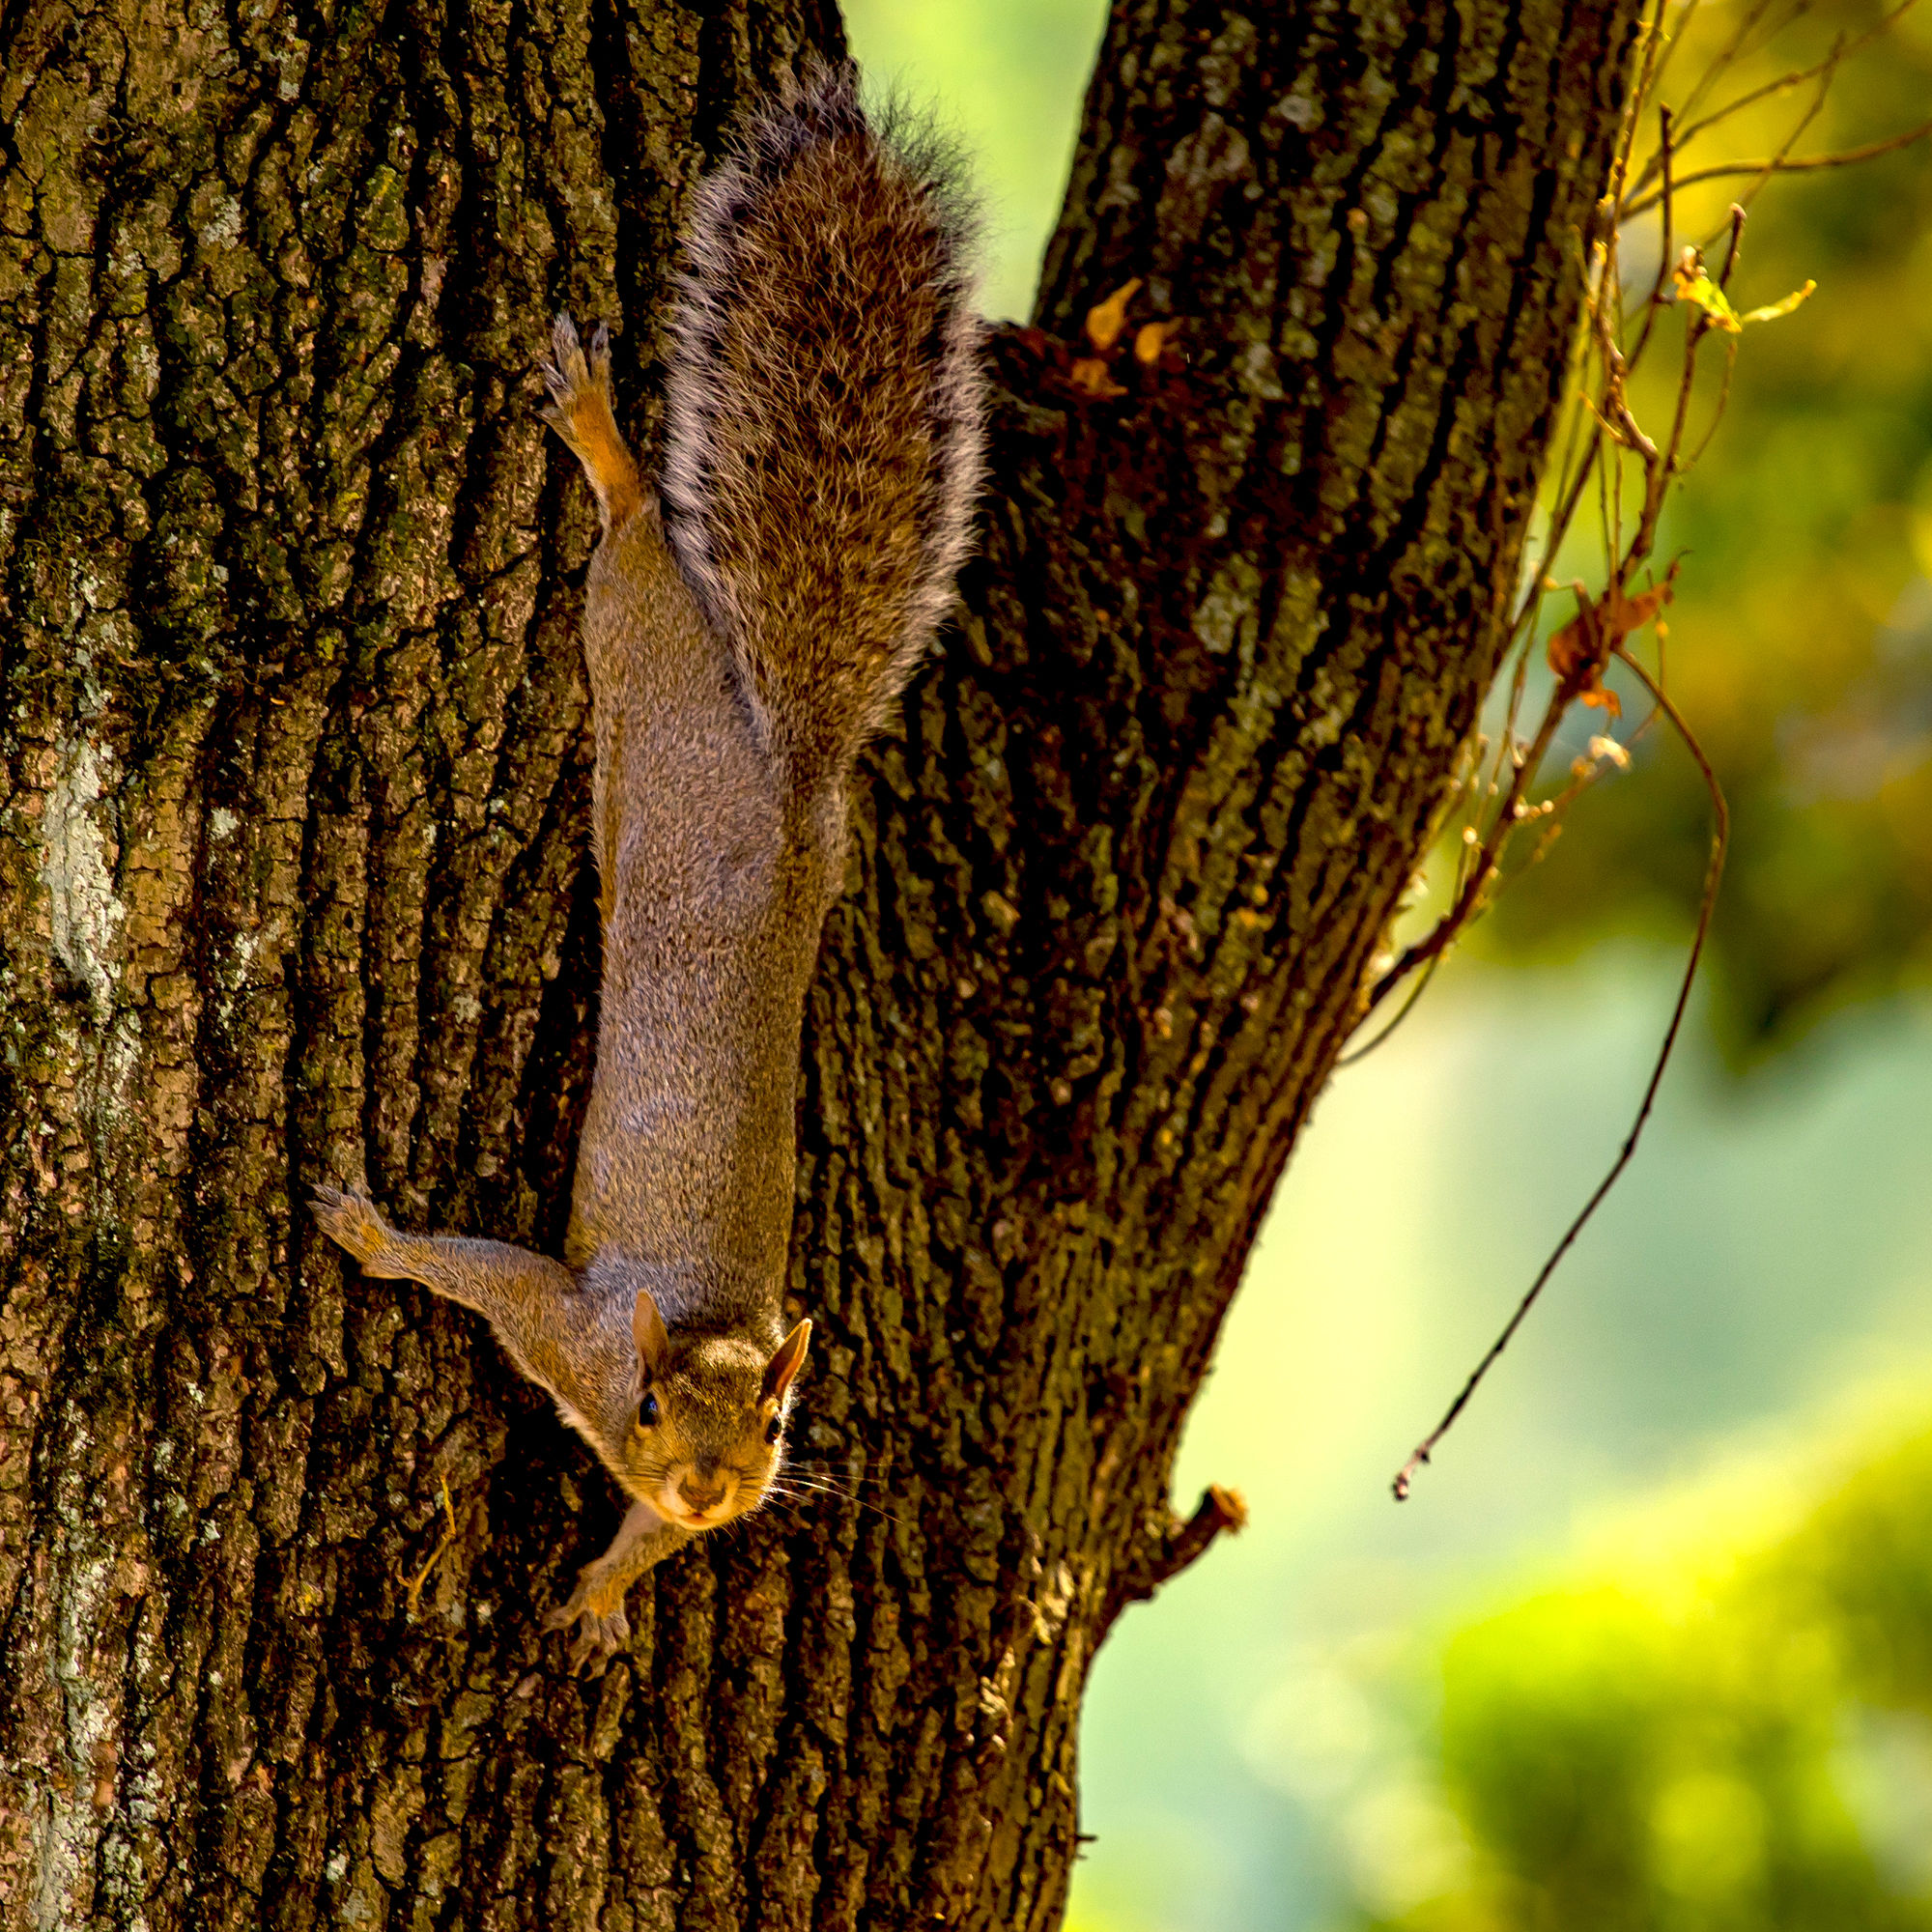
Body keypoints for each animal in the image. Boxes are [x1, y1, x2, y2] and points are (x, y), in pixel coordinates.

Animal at [311, 62, 983, 1675]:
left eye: (781, 1421)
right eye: (655, 1402)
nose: (710, 1485)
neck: (691, 1318)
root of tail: (786, 781)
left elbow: (639, 1546)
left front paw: (607, 1593)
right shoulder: (564, 1318)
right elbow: (476, 1272)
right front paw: (376, 1237)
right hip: (638, 641)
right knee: (627, 542)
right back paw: (606, 444)